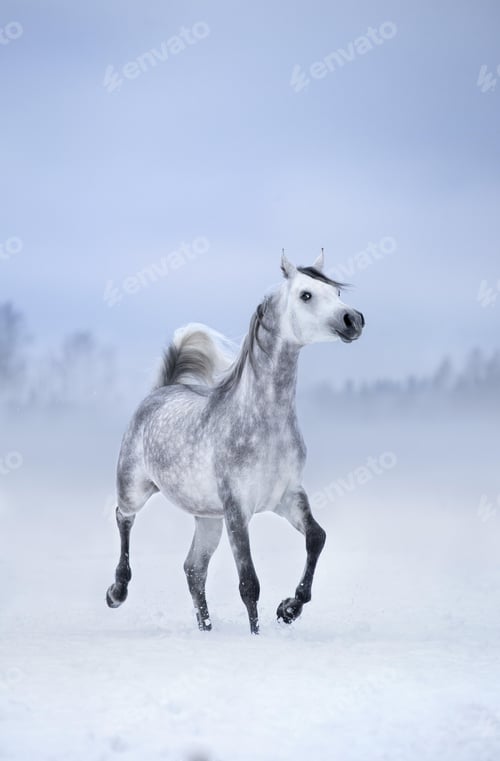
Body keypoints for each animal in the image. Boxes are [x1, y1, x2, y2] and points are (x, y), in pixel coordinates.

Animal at [106, 251, 365, 634]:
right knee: (124, 518)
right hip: (136, 488)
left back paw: (206, 629)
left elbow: (316, 538)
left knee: (193, 569)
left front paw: (289, 609)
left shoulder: (287, 497)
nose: (353, 319)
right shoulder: (236, 508)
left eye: (336, 291)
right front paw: (258, 634)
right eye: (306, 294)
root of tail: (162, 390)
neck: (263, 423)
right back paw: (117, 591)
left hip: (207, 517)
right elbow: (249, 583)